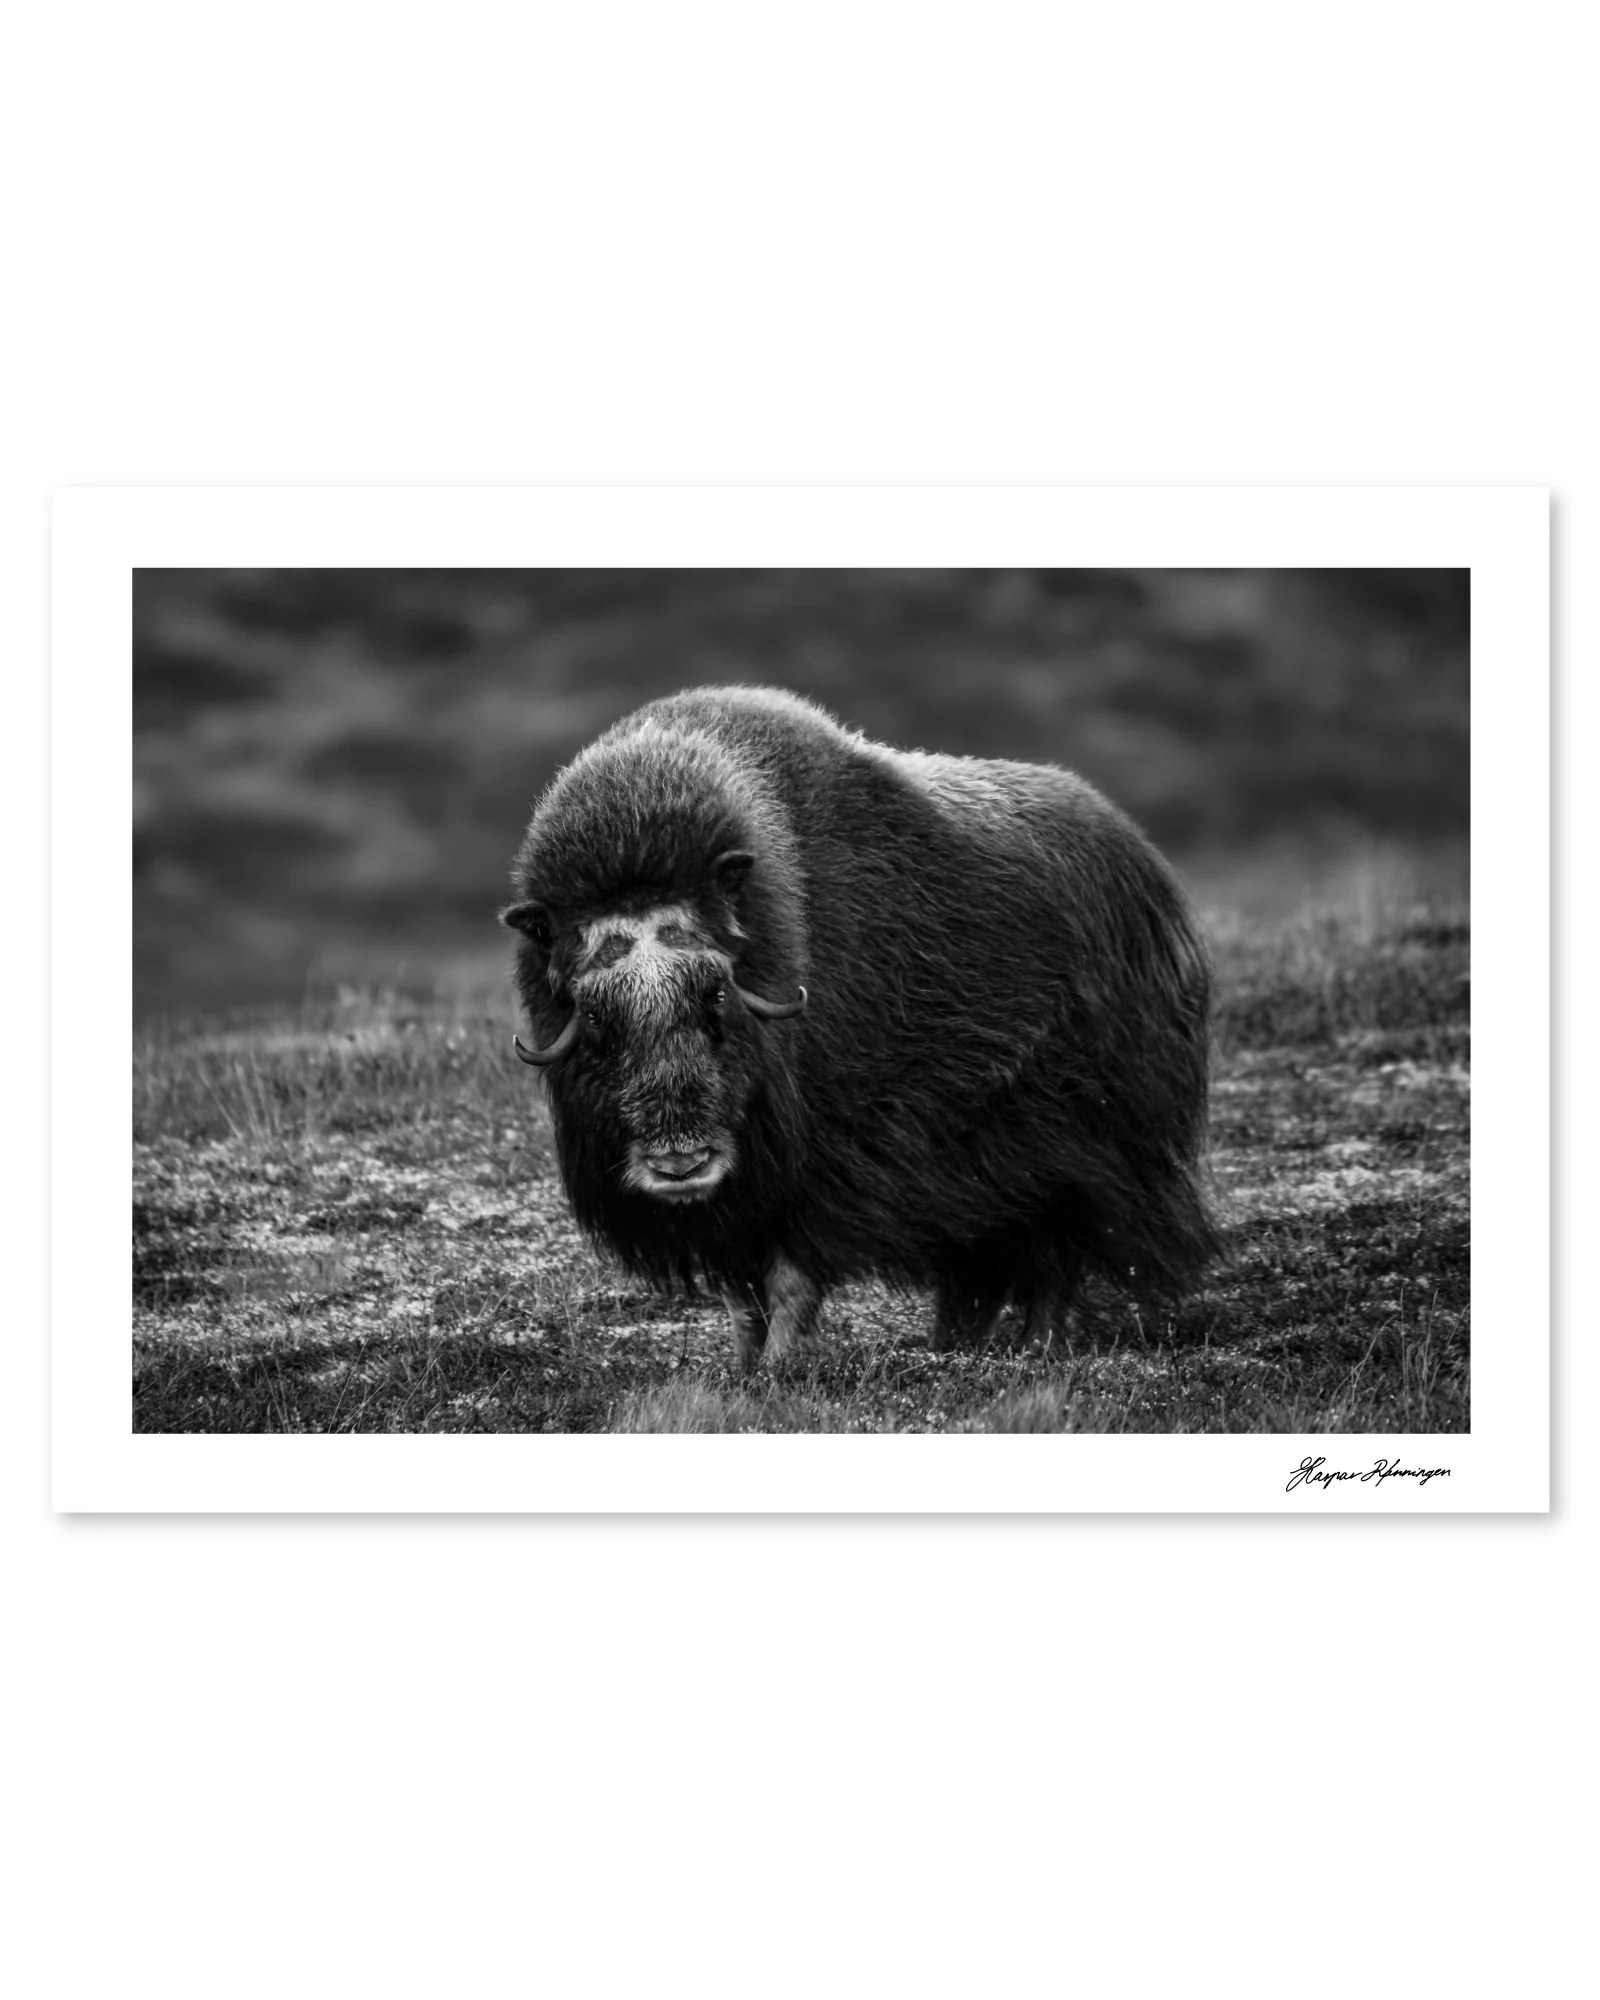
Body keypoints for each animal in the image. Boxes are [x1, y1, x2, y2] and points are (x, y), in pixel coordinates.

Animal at [502, 686, 1218, 1371]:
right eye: (597, 1015)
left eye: (716, 994)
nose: (680, 1163)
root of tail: (1143, 858)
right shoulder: (738, 1203)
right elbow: (740, 1295)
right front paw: (743, 1367)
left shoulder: (829, 1163)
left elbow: (792, 1274)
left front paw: (780, 1367)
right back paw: (955, 1344)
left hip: (1084, 1146)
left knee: (1057, 1251)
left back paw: (1035, 1345)